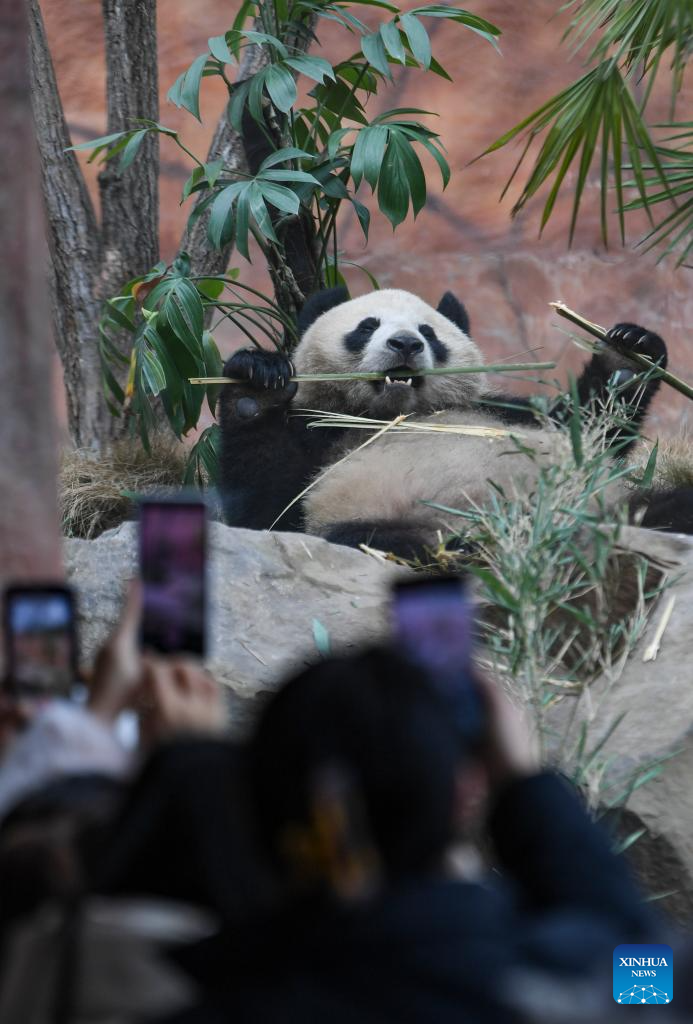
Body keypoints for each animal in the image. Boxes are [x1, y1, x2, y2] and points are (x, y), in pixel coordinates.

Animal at [215, 286, 687, 561]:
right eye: (367, 326)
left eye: (429, 332)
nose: (405, 343)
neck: (392, 413)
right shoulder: (318, 433)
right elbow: (268, 510)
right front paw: (256, 384)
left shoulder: (499, 409)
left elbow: (587, 428)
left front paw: (628, 355)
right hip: (378, 517)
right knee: (382, 540)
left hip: (609, 506)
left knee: (661, 509)